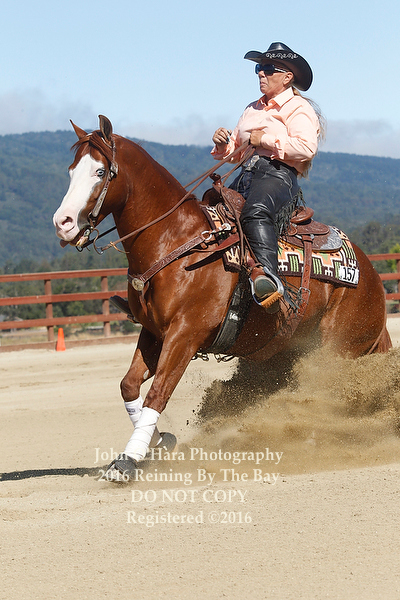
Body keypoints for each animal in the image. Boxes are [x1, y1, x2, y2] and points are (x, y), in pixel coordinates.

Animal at [53, 115, 391, 481]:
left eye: (100, 171)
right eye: (71, 170)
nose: (62, 223)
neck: (178, 242)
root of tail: (372, 278)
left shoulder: (185, 334)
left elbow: (157, 394)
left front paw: (127, 461)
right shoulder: (154, 332)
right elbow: (129, 387)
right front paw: (160, 440)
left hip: (335, 351)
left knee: (323, 394)